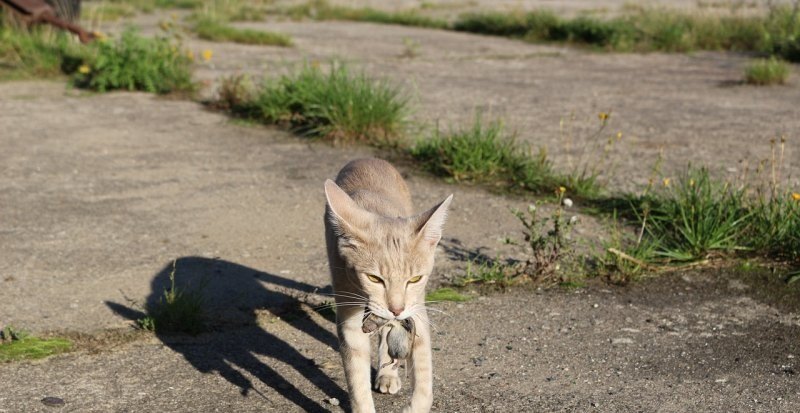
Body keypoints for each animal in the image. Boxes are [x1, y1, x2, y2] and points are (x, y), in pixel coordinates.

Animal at [324, 158, 450, 412]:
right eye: (374, 279)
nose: (397, 308)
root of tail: (368, 158)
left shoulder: (416, 311)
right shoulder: (349, 318)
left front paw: (416, 406)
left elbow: (424, 377)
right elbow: (357, 382)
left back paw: (388, 374)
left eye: (414, 279)